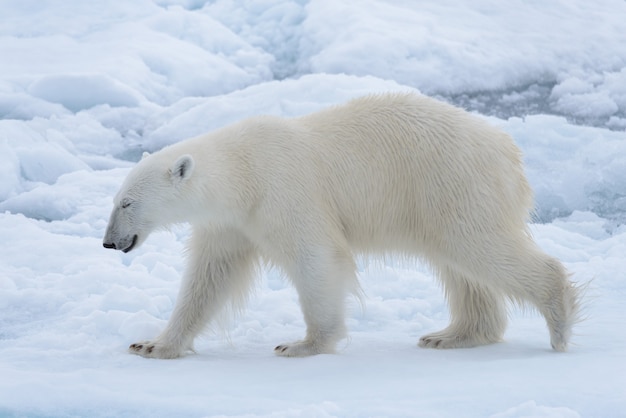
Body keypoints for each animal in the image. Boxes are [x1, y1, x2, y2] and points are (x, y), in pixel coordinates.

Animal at [103, 93, 580, 358]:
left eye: (127, 202)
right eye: (114, 199)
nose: (109, 242)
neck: (242, 171)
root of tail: (508, 149)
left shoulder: (282, 192)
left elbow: (315, 257)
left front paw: (303, 344)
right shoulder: (232, 222)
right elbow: (209, 277)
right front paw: (153, 345)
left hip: (453, 183)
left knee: (481, 248)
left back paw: (558, 322)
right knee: (461, 267)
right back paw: (451, 335)